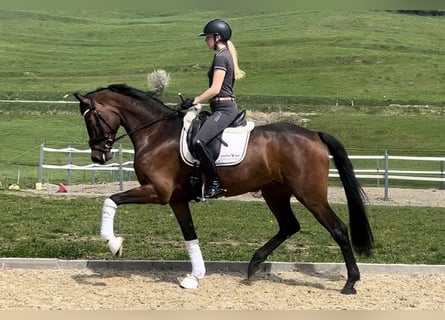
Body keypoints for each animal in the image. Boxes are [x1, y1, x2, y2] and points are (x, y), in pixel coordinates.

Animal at [73, 84, 372, 294]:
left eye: (92, 119)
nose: (98, 157)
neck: (157, 134)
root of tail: (314, 135)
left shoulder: (158, 191)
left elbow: (111, 199)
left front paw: (114, 244)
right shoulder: (177, 200)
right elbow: (190, 236)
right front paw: (195, 277)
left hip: (310, 194)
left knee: (337, 229)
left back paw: (351, 283)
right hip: (275, 192)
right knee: (289, 225)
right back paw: (254, 265)